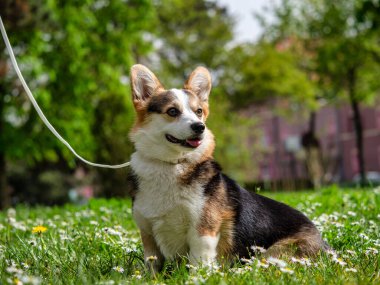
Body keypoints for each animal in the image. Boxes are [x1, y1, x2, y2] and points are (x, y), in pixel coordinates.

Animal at [129, 63, 326, 270]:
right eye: (172, 111)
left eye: (198, 111)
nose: (200, 127)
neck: (173, 165)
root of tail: (325, 246)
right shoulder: (148, 234)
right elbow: (152, 265)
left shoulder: (202, 231)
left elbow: (198, 264)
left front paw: (198, 276)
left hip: (271, 254)